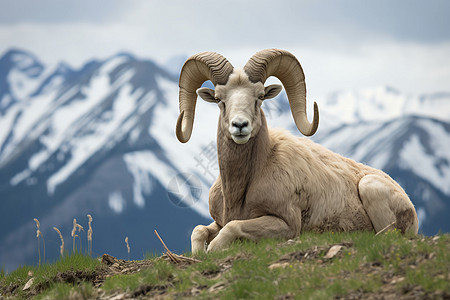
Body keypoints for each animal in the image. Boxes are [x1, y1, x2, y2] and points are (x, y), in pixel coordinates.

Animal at [175, 49, 418, 253]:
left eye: (260, 96)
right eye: (219, 98)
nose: (240, 125)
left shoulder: (286, 224)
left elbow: (232, 227)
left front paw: (212, 250)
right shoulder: (218, 221)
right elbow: (198, 230)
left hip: (370, 187)